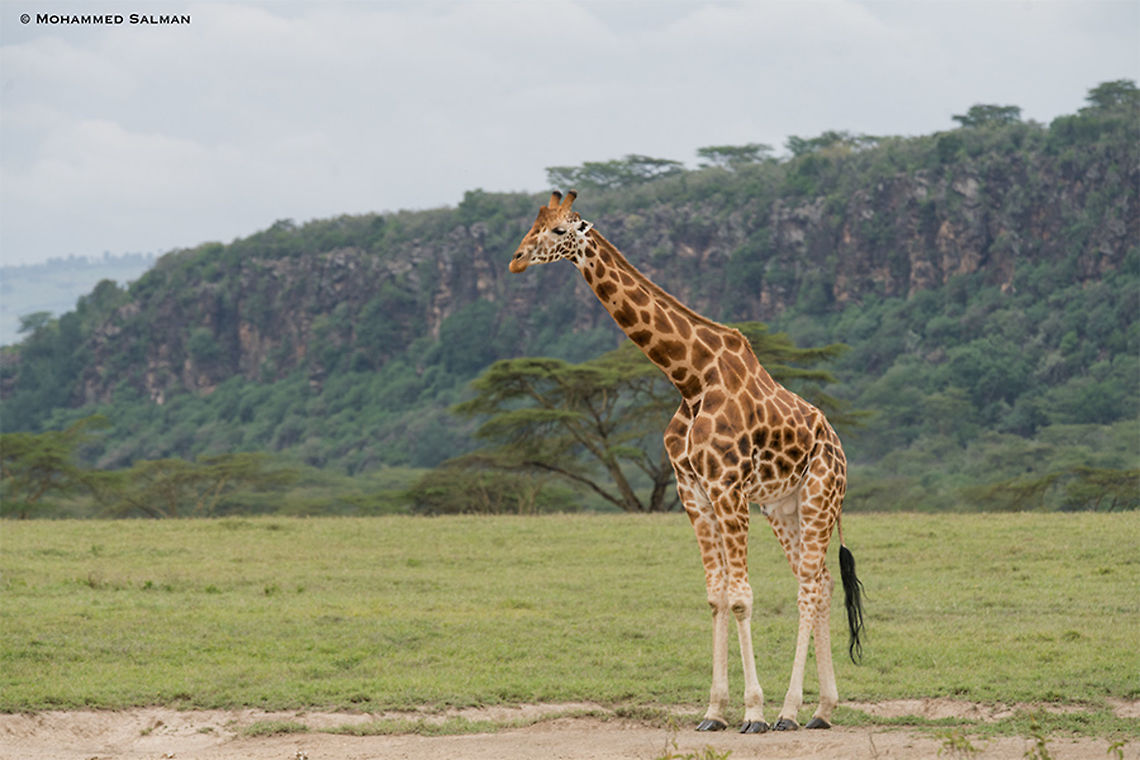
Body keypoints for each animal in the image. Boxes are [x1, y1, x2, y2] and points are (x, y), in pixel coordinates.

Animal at [509, 190, 865, 733]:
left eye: (558, 230)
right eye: (533, 224)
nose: (516, 260)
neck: (690, 378)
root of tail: (839, 445)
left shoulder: (727, 487)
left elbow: (740, 596)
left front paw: (754, 712)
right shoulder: (692, 491)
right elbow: (716, 595)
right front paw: (714, 712)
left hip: (820, 495)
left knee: (808, 585)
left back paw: (788, 712)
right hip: (783, 507)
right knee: (822, 582)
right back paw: (821, 711)